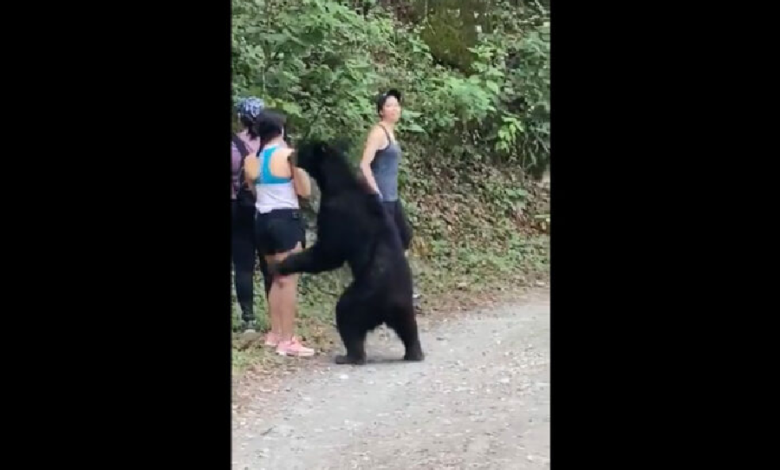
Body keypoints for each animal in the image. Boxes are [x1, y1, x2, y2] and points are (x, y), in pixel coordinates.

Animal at [270, 138, 426, 366]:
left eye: (302, 149)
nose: (290, 156)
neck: (335, 183)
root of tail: (387, 308)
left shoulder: (336, 212)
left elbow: (328, 251)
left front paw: (281, 264)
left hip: (366, 293)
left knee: (347, 314)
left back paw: (349, 355)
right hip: (403, 303)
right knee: (408, 326)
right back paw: (414, 352)